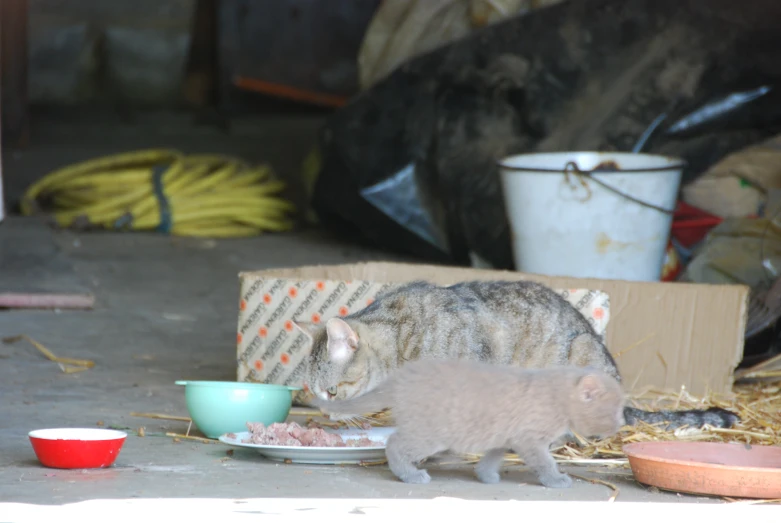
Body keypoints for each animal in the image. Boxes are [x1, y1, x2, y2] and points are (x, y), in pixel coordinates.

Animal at [310, 360, 620, 488]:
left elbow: (493, 456)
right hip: (432, 432)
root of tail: (402, 377)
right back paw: (410, 475)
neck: (557, 394)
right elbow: (545, 462)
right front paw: (556, 479)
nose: (621, 422)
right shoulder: (530, 440)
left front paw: (486, 475)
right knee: (394, 444)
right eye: (614, 411)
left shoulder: (504, 436)